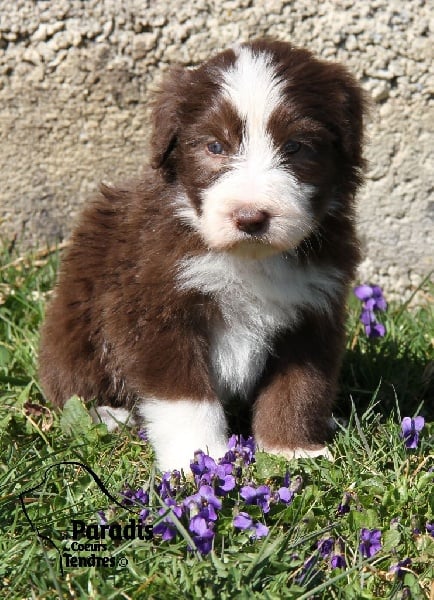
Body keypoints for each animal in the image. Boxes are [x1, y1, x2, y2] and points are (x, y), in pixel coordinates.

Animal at [38, 39, 366, 474]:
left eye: (295, 147)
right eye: (215, 147)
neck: (249, 259)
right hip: (75, 327)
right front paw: (199, 459)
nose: (250, 217)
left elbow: (299, 387)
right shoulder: (157, 306)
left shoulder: (314, 309)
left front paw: (292, 451)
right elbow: (185, 398)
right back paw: (110, 415)